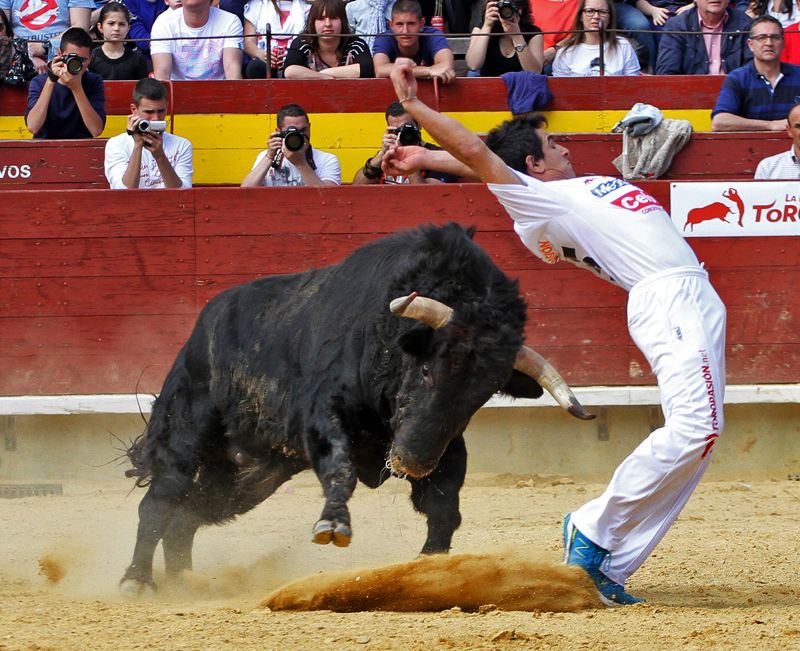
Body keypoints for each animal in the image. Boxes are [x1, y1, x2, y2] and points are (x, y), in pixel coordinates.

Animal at [122, 223, 592, 592]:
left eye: (483, 393)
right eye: (427, 369)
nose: (411, 461)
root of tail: (206, 321)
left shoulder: (445, 445)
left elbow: (444, 507)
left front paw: (432, 567)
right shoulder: (326, 415)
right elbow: (340, 468)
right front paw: (333, 525)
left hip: (250, 473)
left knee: (188, 515)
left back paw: (185, 582)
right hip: (186, 429)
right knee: (160, 502)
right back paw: (137, 581)